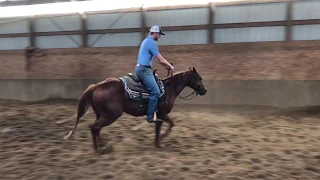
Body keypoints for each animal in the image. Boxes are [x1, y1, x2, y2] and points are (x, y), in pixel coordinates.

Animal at [64, 65, 208, 153]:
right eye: (199, 78)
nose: (204, 91)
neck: (168, 89)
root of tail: (97, 86)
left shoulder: (162, 114)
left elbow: (171, 124)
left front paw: (159, 140)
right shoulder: (161, 114)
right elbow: (159, 129)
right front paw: (159, 142)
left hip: (101, 114)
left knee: (96, 129)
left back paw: (104, 146)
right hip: (111, 115)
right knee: (94, 128)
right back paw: (99, 149)